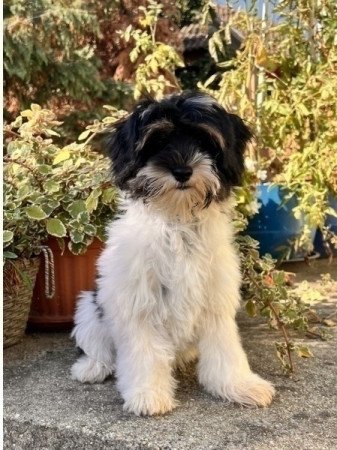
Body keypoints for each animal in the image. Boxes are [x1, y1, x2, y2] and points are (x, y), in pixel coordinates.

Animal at [70, 91, 272, 414]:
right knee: (98, 347)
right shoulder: (137, 302)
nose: (182, 170)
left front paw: (239, 385)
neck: (178, 222)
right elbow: (145, 353)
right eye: (158, 142)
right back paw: (91, 367)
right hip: (89, 308)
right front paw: (148, 394)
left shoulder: (216, 299)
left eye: (204, 141)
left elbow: (225, 348)